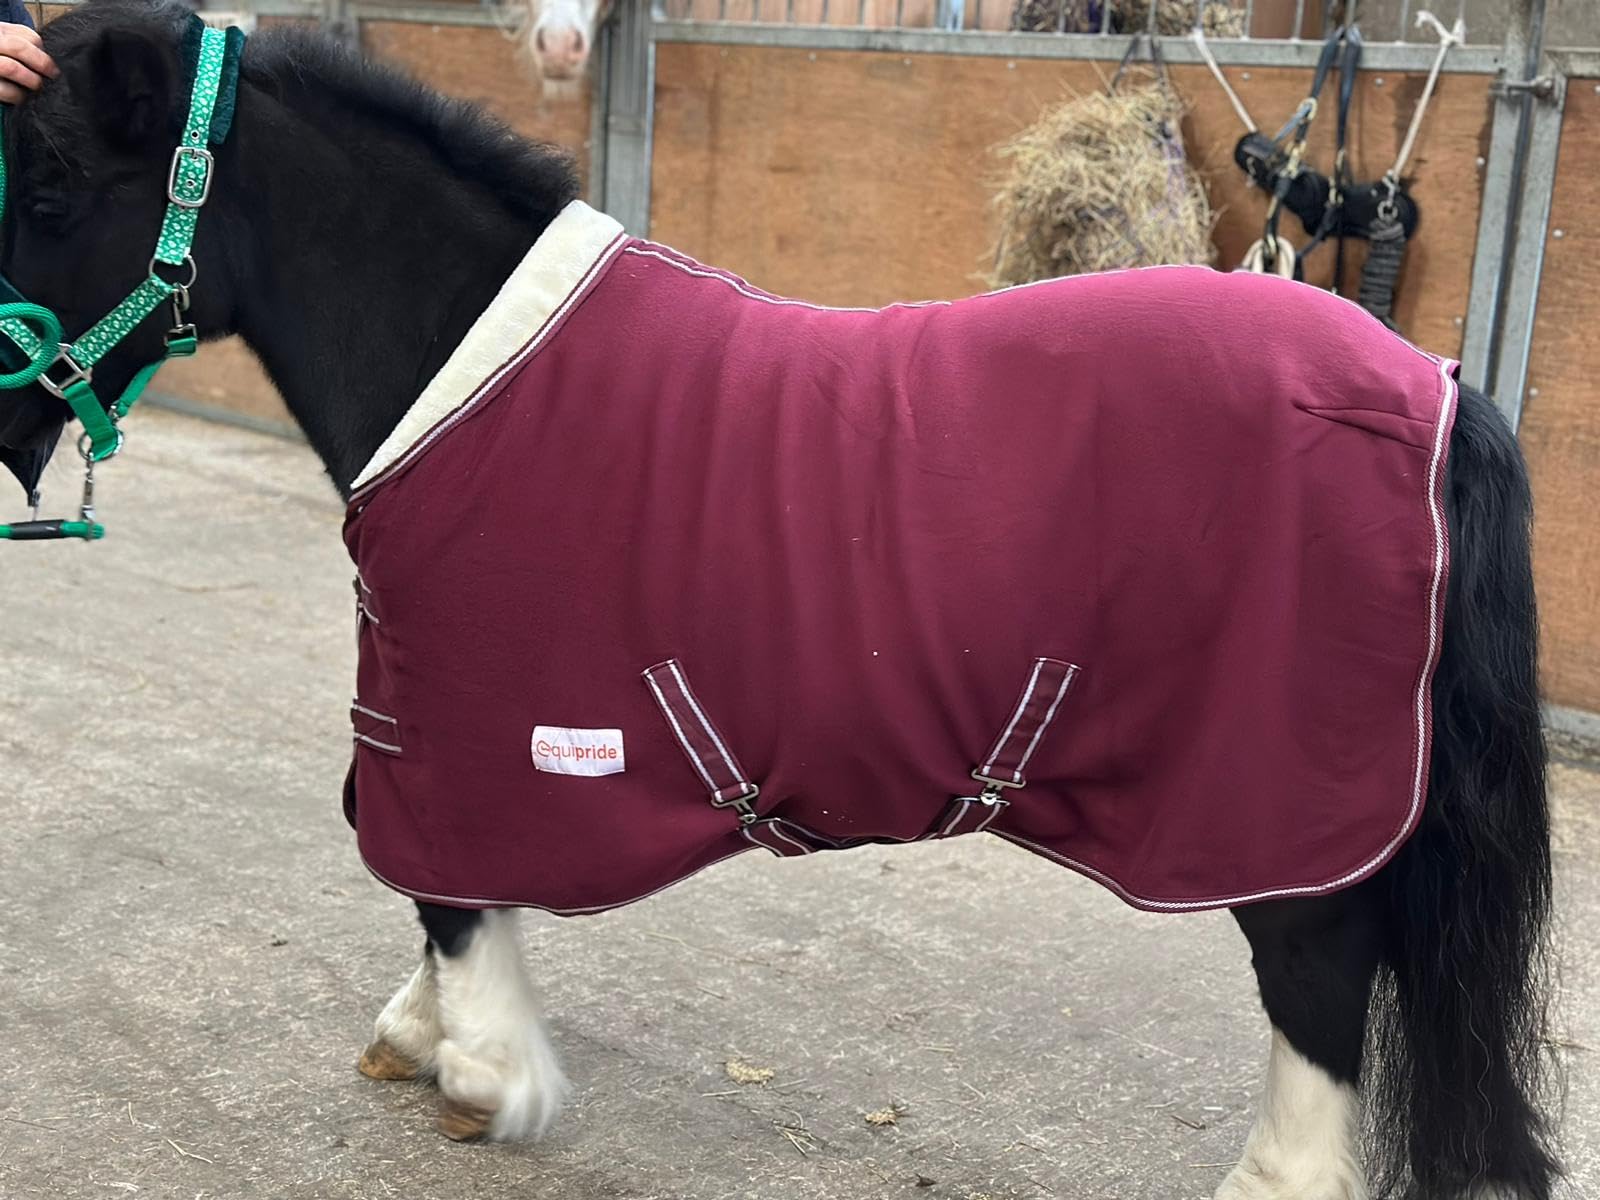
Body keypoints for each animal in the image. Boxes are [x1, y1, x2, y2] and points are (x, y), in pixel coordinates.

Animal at [0, 4, 1560, 1197]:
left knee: (1316, 988)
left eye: (50, 187)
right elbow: (434, 881)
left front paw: (487, 1071)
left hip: (1272, 810)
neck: (471, 369)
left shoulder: (471, 725)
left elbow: (447, 889)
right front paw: (425, 1034)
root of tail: (1429, 389)